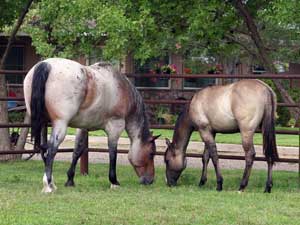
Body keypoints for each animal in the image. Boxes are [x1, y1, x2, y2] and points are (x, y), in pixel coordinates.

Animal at [23, 57, 161, 192]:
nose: (149, 180)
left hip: (43, 123)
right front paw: (114, 181)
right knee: (51, 149)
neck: (121, 87)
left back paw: (52, 182)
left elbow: (77, 151)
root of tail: (46, 65)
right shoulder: (115, 127)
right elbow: (112, 153)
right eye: (151, 154)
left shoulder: (83, 127)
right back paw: (48, 185)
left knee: (43, 150)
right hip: (60, 124)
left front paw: (70, 180)